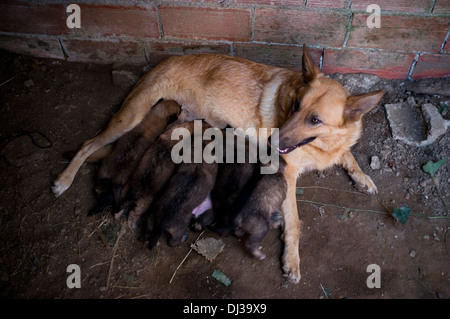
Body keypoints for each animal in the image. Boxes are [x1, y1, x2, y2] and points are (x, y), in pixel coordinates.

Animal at [52, 46, 384, 284]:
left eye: (314, 119)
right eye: (295, 107)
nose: (273, 140)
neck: (322, 144)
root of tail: (165, 61)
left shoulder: (333, 148)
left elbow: (350, 156)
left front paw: (363, 177)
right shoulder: (288, 173)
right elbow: (296, 223)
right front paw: (291, 260)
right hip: (130, 117)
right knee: (87, 145)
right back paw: (63, 180)